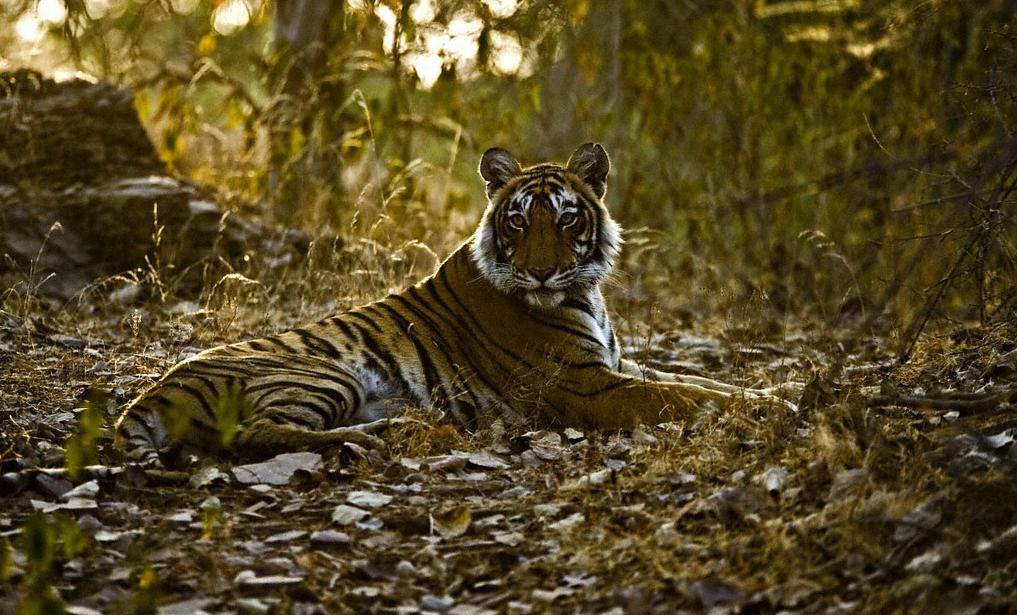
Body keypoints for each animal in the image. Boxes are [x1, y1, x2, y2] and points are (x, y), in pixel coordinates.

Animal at [115, 143, 791, 466]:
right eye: (518, 221)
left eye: (567, 218)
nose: (541, 271)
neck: (584, 291)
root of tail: (150, 394)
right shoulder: (591, 386)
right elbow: (684, 397)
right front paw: (778, 405)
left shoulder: (616, 365)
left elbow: (702, 382)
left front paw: (778, 391)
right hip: (321, 371)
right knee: (254, 434)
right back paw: (387, 435)